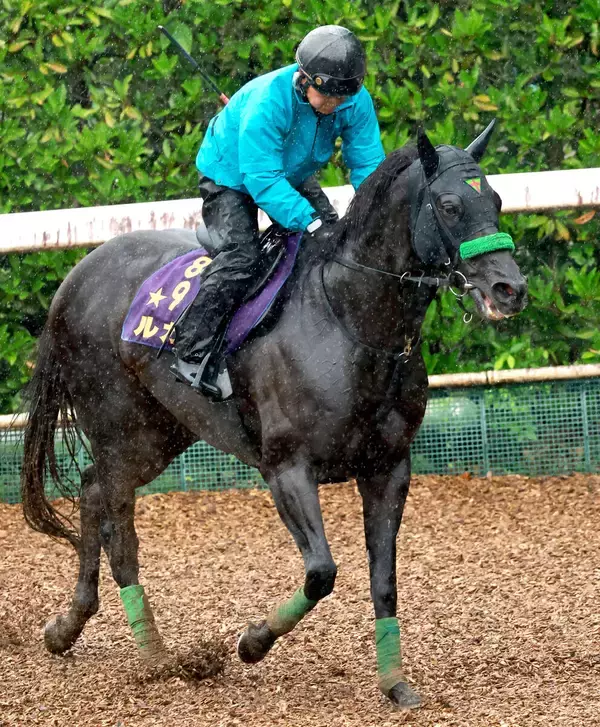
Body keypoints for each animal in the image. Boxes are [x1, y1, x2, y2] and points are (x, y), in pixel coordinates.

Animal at [21, 123, 527, 710]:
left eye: (497, 200)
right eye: (448, 204)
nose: (510, 289)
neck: (348, 319)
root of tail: (76, 276)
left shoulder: (389, 469)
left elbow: (384, 578)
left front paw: (395, 683)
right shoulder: (287, 469)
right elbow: (321, 572)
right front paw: (251, 642)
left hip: (159, 432)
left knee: (92, 488)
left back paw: (70, 627)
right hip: (119, 425)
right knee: (115, 516)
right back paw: (155, 657)